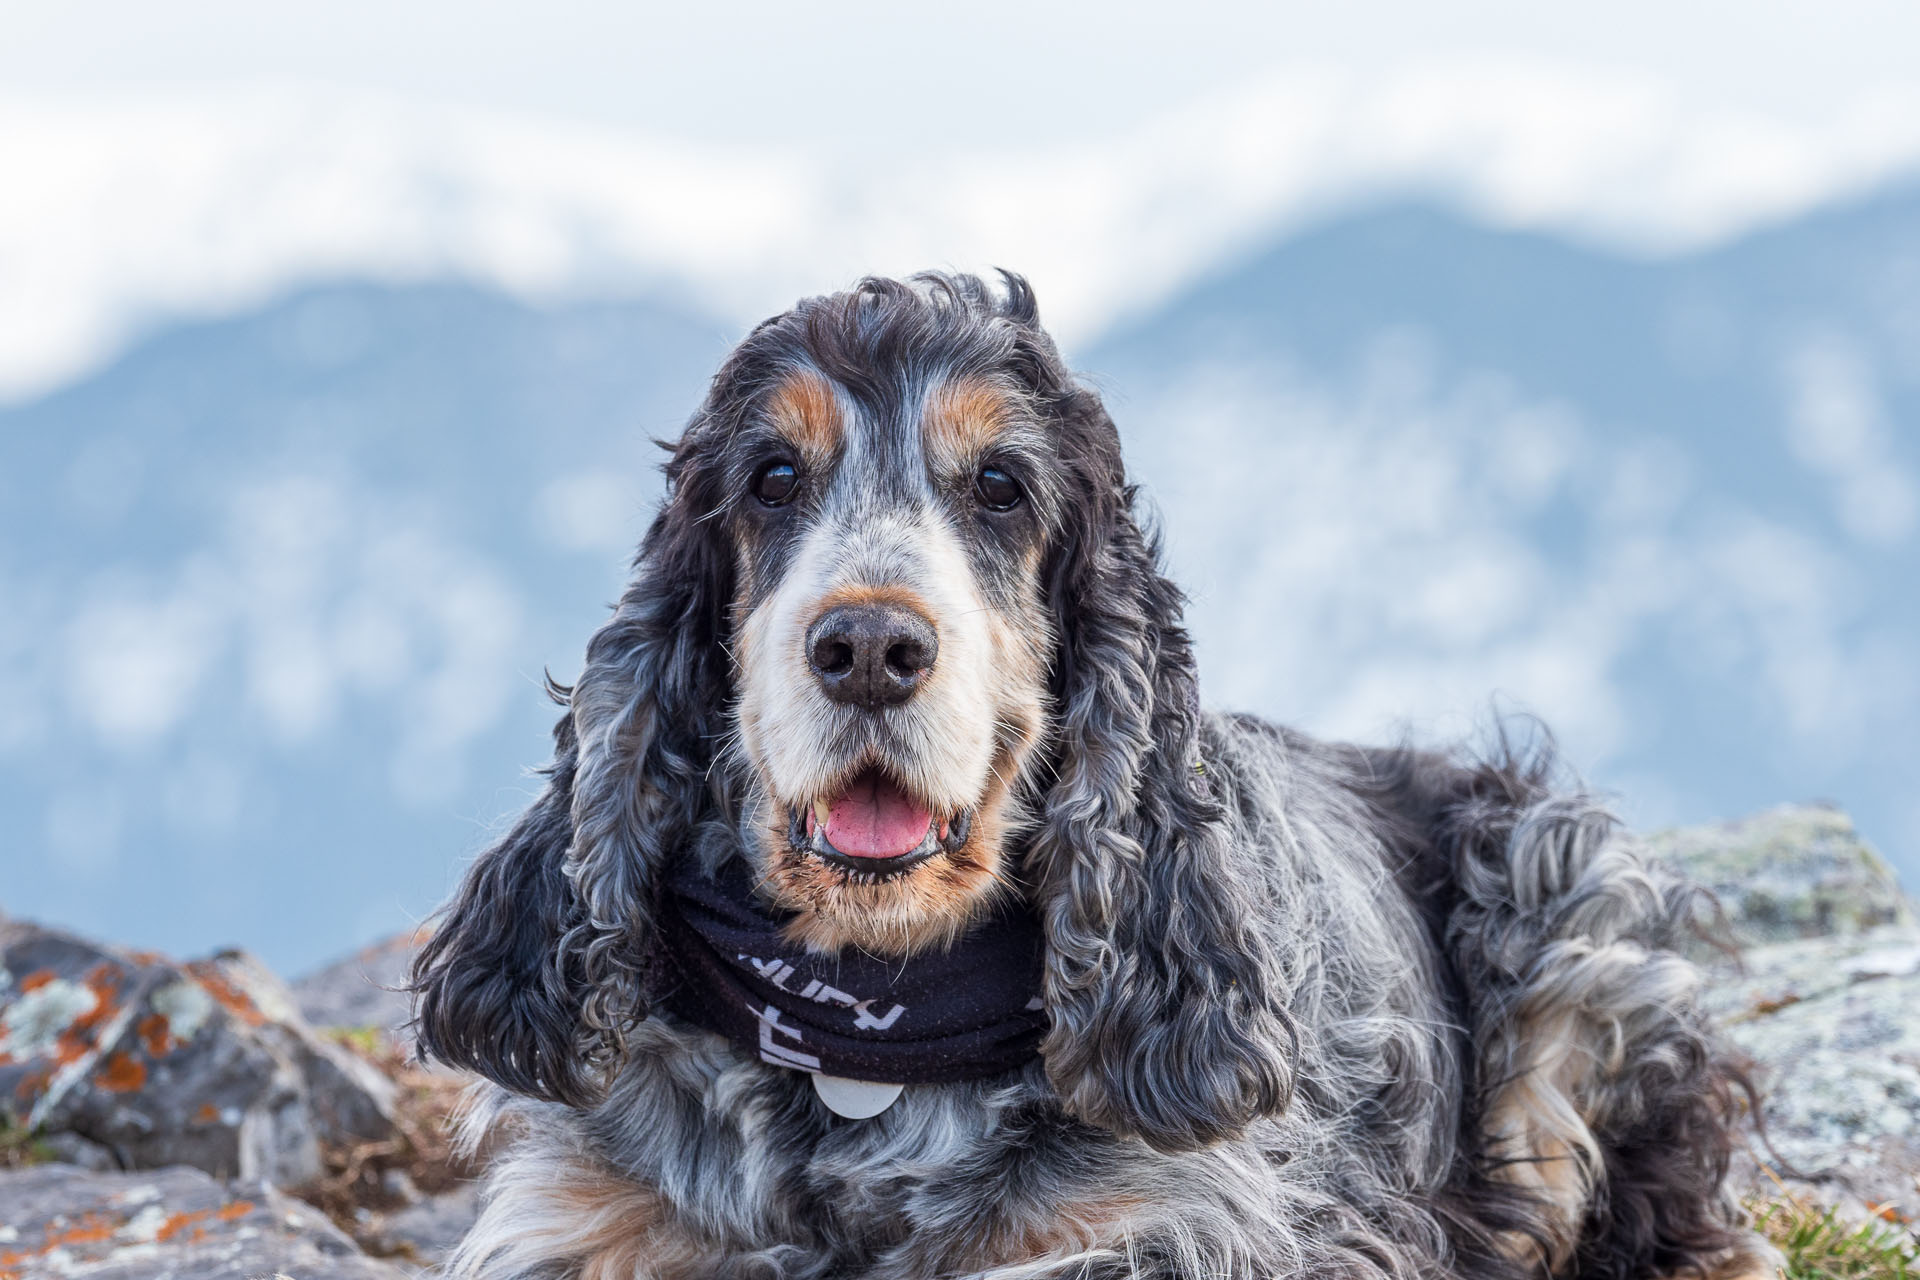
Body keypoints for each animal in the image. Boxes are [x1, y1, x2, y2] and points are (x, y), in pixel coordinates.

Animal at [412, 272, 1774, 1280]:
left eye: (1002, 486)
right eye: (772, 478)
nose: (869, 646)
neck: (870, 1033)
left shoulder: (1197, 1226)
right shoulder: (580, 1217)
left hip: (1566, 913)